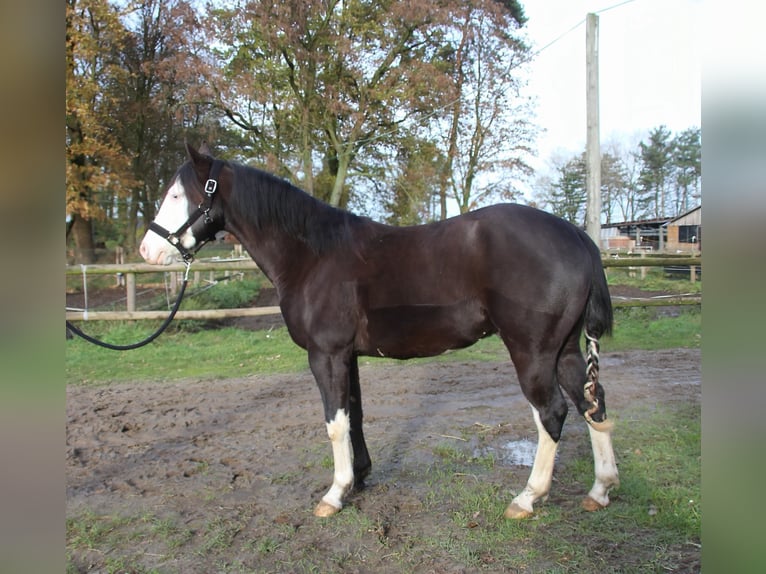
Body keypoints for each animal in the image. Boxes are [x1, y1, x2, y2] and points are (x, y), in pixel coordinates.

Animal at [139, 143, 619, 519]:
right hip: (565, 350)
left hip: (533, 352)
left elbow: (334, 423)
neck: (312, 255)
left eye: (178, 193)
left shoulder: (326, 354)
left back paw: (527, 498)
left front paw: (335, 494)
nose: (147, 249)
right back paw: (600, 489)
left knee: (552, 412)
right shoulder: (346, 355)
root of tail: (578, 237)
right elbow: (354, 416)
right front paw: (360, 477)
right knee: (592, 403)